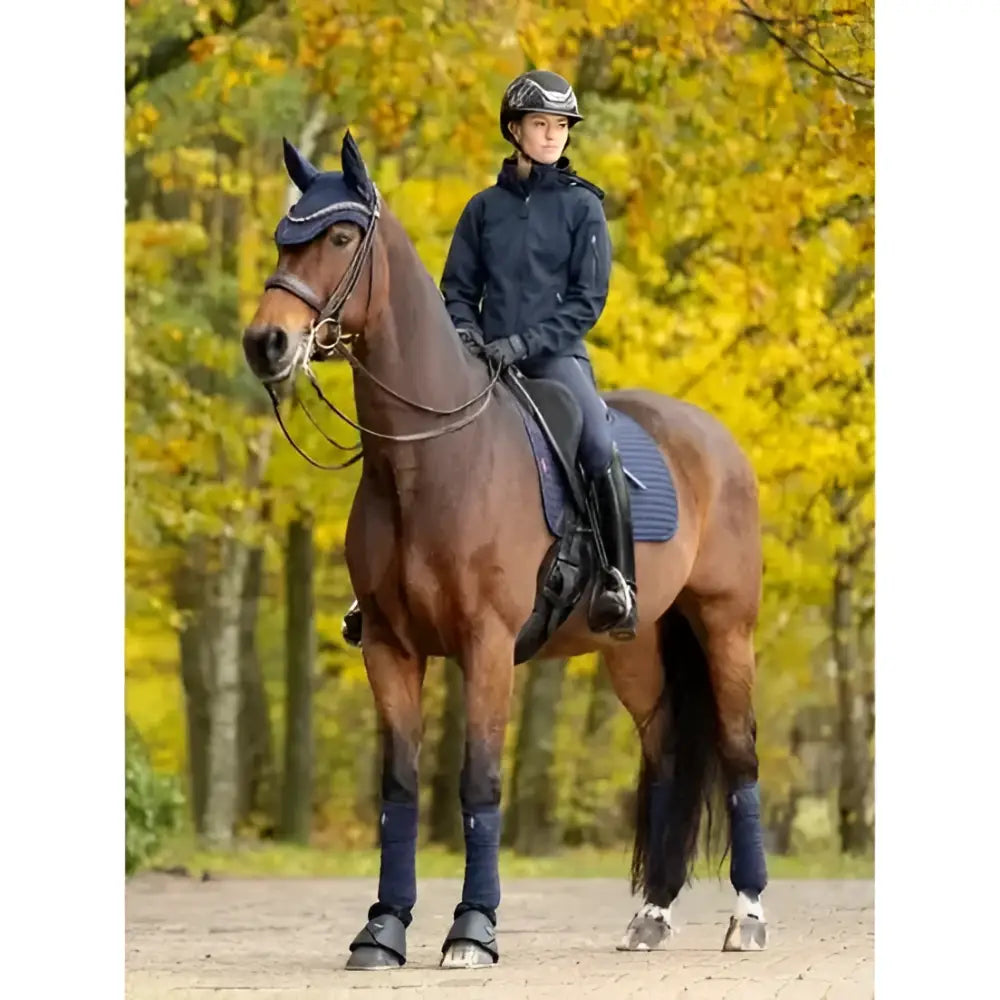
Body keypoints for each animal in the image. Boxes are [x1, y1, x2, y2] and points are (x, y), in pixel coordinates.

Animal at [241, 131, 769, 970]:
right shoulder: (389, 647)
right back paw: (651, 914)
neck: (430, 461)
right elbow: (399, 787)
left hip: (725, 626)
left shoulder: (486, 645)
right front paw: (382, 929)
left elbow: (479, 782)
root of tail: (715, 439)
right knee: (668, 754)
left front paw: (472, 930)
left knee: (740, 754)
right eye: (280, 237)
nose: (267, 344)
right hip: (635, 647)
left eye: (340, 237)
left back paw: (747, 916)